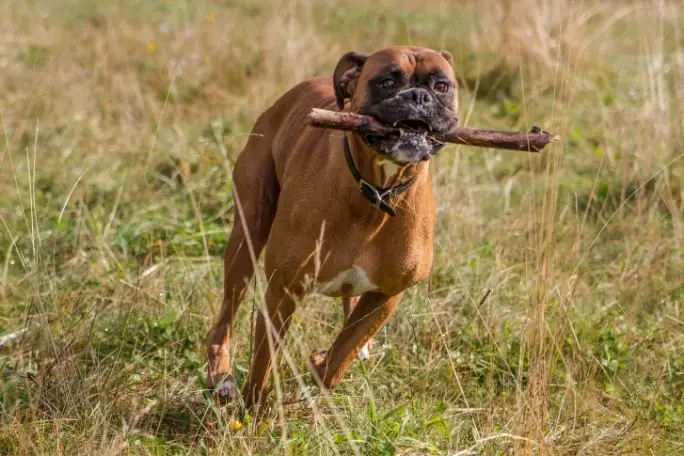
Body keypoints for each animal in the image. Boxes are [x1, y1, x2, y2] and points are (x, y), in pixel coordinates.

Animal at [204, 45, 460, 410]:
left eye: (441, 86)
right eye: (386, 82)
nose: (418, 97)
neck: (375, 194)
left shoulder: (386, 296)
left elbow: (341, 356)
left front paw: (322, 363)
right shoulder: (282, 291)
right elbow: (264, 363)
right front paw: (252, 409)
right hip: (246, 236)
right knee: (226, 312)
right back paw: (221, 374)